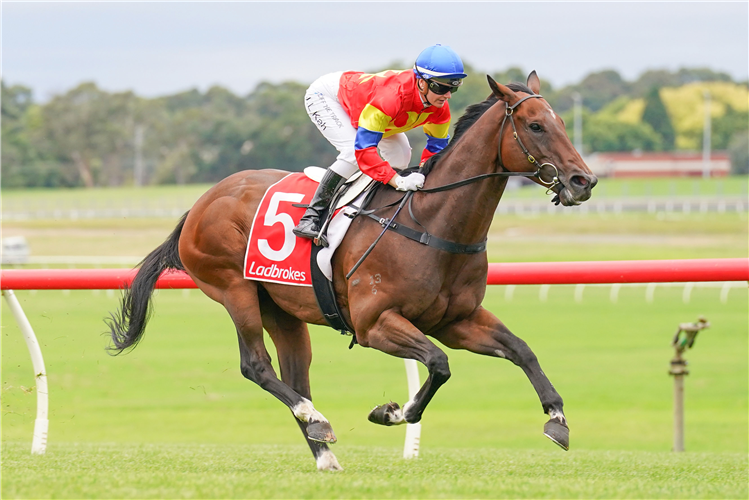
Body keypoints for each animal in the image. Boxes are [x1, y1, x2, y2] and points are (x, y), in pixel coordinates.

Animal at [105, 72, 596, 470]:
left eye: (562, 122)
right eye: (535, 126)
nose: (583, 181)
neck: (431, 224)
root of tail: (200, 204)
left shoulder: (457, 320)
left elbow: (521, 350)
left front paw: (557, 419)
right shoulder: (375, 323)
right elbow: (438, 364)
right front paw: (393, 412)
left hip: (281, 306)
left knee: (295, 375)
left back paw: (323, 450)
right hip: (233, 288)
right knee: (256, 366)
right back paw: (315, 419)